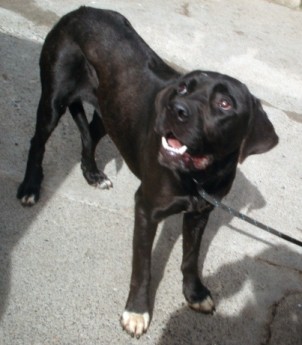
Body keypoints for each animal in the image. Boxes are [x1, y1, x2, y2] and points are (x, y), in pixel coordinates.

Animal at [17, 7, 278, 336]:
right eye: (183, 87)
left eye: (224, 103)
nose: (175, 109)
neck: (198, 176)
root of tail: (80, 11)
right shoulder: (146, 208)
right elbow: (142, 265)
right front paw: (137, 311)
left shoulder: (200, 213)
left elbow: (191, 257)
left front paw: (195, 293)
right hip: (54, 99)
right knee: (38, 141)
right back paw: (30, 187)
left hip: (111, 113)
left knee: (89, 136)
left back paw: (93, 174)